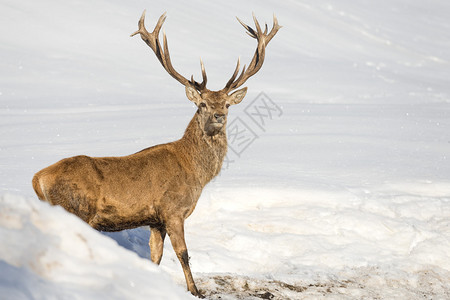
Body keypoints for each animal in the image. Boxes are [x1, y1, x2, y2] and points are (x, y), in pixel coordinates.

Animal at [31, 10, 280, 296]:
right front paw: (195, 290)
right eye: (202, 104)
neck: (195, 172)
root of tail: (38, 179)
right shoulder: (172, 210)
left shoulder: (155, 220)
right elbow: (183, 253)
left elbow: (155, 256)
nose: (219, 115)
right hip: (74, 208)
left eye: (227, 104)